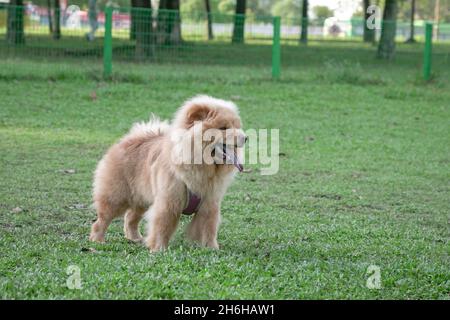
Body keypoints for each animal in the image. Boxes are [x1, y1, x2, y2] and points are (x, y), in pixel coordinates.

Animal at [89, 96, 248, 251]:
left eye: (237, 126)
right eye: (223, 128)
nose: (246, 137)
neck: (202, 167)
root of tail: (127, 140)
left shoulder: (209, 204)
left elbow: (209, 228)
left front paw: (212, 248)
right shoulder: (169, 201)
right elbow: (162, 226)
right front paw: (159, 249)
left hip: (142, 199)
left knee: (130, 218)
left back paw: (135, 238)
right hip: (116, 197)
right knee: (102, 220)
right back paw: (97, 240)